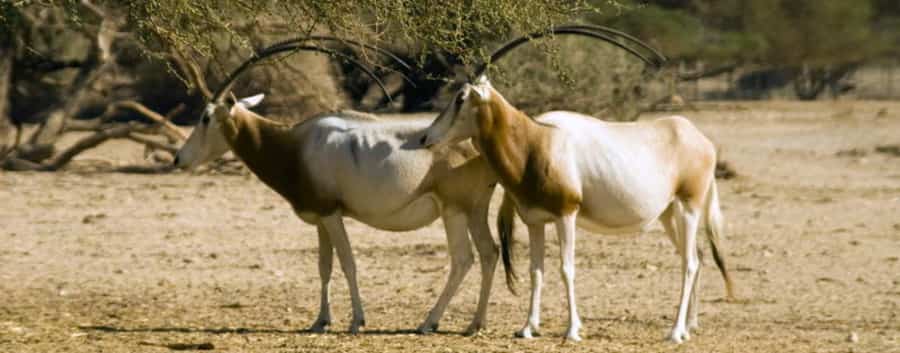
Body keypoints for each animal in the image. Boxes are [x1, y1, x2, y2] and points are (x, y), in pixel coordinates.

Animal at [172, 37, 506, 334]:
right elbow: (325, 265)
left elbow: (348, 262)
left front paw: (357, 321)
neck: (295, 146)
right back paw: (475, 324)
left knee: (463, 259)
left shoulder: (331, 213)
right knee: (490, 252)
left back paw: (429, 322)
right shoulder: (321, 217)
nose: (178, 159)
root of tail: (478, 143)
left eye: (205, 117)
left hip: (453, 210)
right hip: (474, 208)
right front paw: (320, 321)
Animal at [418, 26, 736, 342]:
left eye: (460, 98)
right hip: (669, 214)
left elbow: (566, 269)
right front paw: (527, 328)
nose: (425, 137)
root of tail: (700, 139)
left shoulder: (566, 214)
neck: (535, 142)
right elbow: (536, 270)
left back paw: (676, 332)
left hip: (689, 207)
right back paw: (690, 325)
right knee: (697, 256)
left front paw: (572, 330)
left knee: (689, 262)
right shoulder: (535, 220)